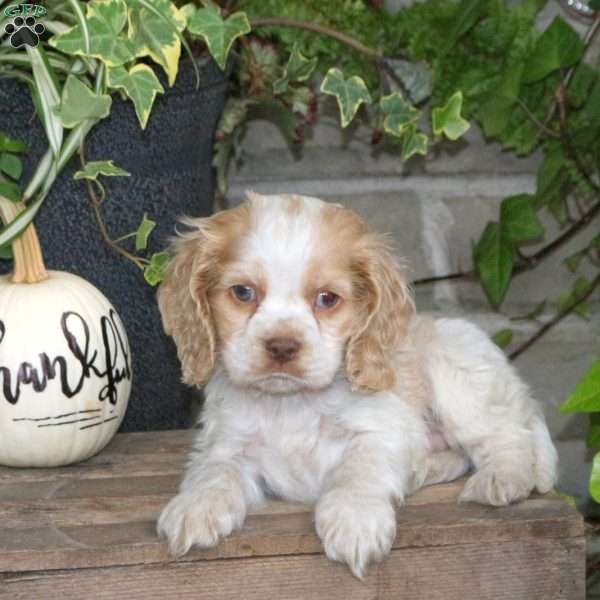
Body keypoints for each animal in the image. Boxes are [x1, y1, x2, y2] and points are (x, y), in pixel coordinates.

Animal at [156, 191, 556, 576]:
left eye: (327, 299)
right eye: (243, 293)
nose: (282, 346)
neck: (291, 402)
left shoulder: (382, 428)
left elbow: (360, 469)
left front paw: (355, 520)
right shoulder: (227, 442)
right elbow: (213, 471)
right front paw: (194, 507)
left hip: (460, 377)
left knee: (506, 436)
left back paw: (501, 478)